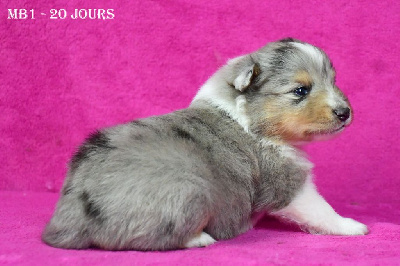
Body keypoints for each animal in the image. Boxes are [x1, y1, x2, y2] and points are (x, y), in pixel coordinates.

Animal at [42, 38, 368, 250]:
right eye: (300, 90)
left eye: (333, 81)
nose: (345, 112)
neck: (249, 118)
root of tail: (71, 216)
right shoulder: (286, 183)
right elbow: (319, 209)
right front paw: (352, 226)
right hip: (191, 190)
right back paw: (199, 238)